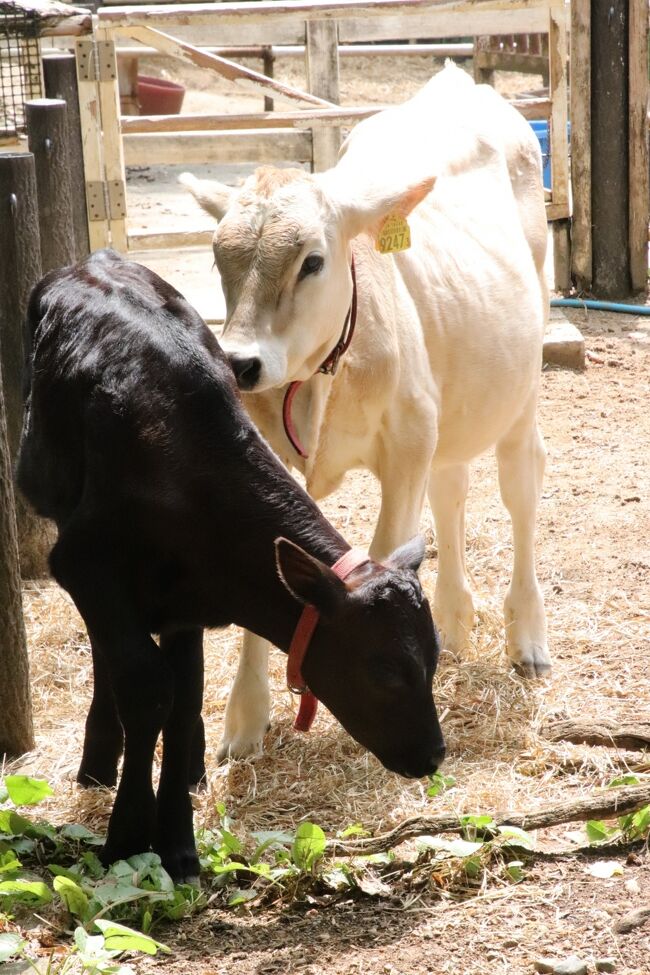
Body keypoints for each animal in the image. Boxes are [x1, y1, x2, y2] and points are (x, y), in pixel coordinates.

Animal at [180, 65, 548, 764]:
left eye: (312, 261)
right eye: (218, 259)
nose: (239, 362)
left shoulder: (405, 447)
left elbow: (385, 551)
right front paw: (244, 721)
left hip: (521, 384)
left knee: (519, 491)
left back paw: (527, 637)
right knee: (452, 487)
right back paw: (454, 618)